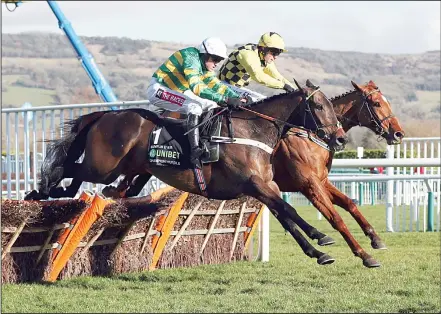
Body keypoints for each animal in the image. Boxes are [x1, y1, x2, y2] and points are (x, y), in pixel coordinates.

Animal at [24, 79, 350, 266]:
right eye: (319, 105)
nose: (341, 139)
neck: (251, 131)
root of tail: (106, 114)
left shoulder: (263, 187)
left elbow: (287, 217)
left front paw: (318, 251)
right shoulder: (255, 184)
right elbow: (289, 211)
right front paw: (322, 237)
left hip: (120, 169)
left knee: (87, 178)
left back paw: (58, 191)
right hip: (103, 166)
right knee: (68, 166)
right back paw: (42, 189)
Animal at [272, 79, 406, 266]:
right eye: (376, 103)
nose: (399, 133)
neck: (312, 136)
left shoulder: (322, 181)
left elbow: (349, 203)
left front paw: (375, 238)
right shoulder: (308, 184)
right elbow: (336, 218)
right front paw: (364, 255)